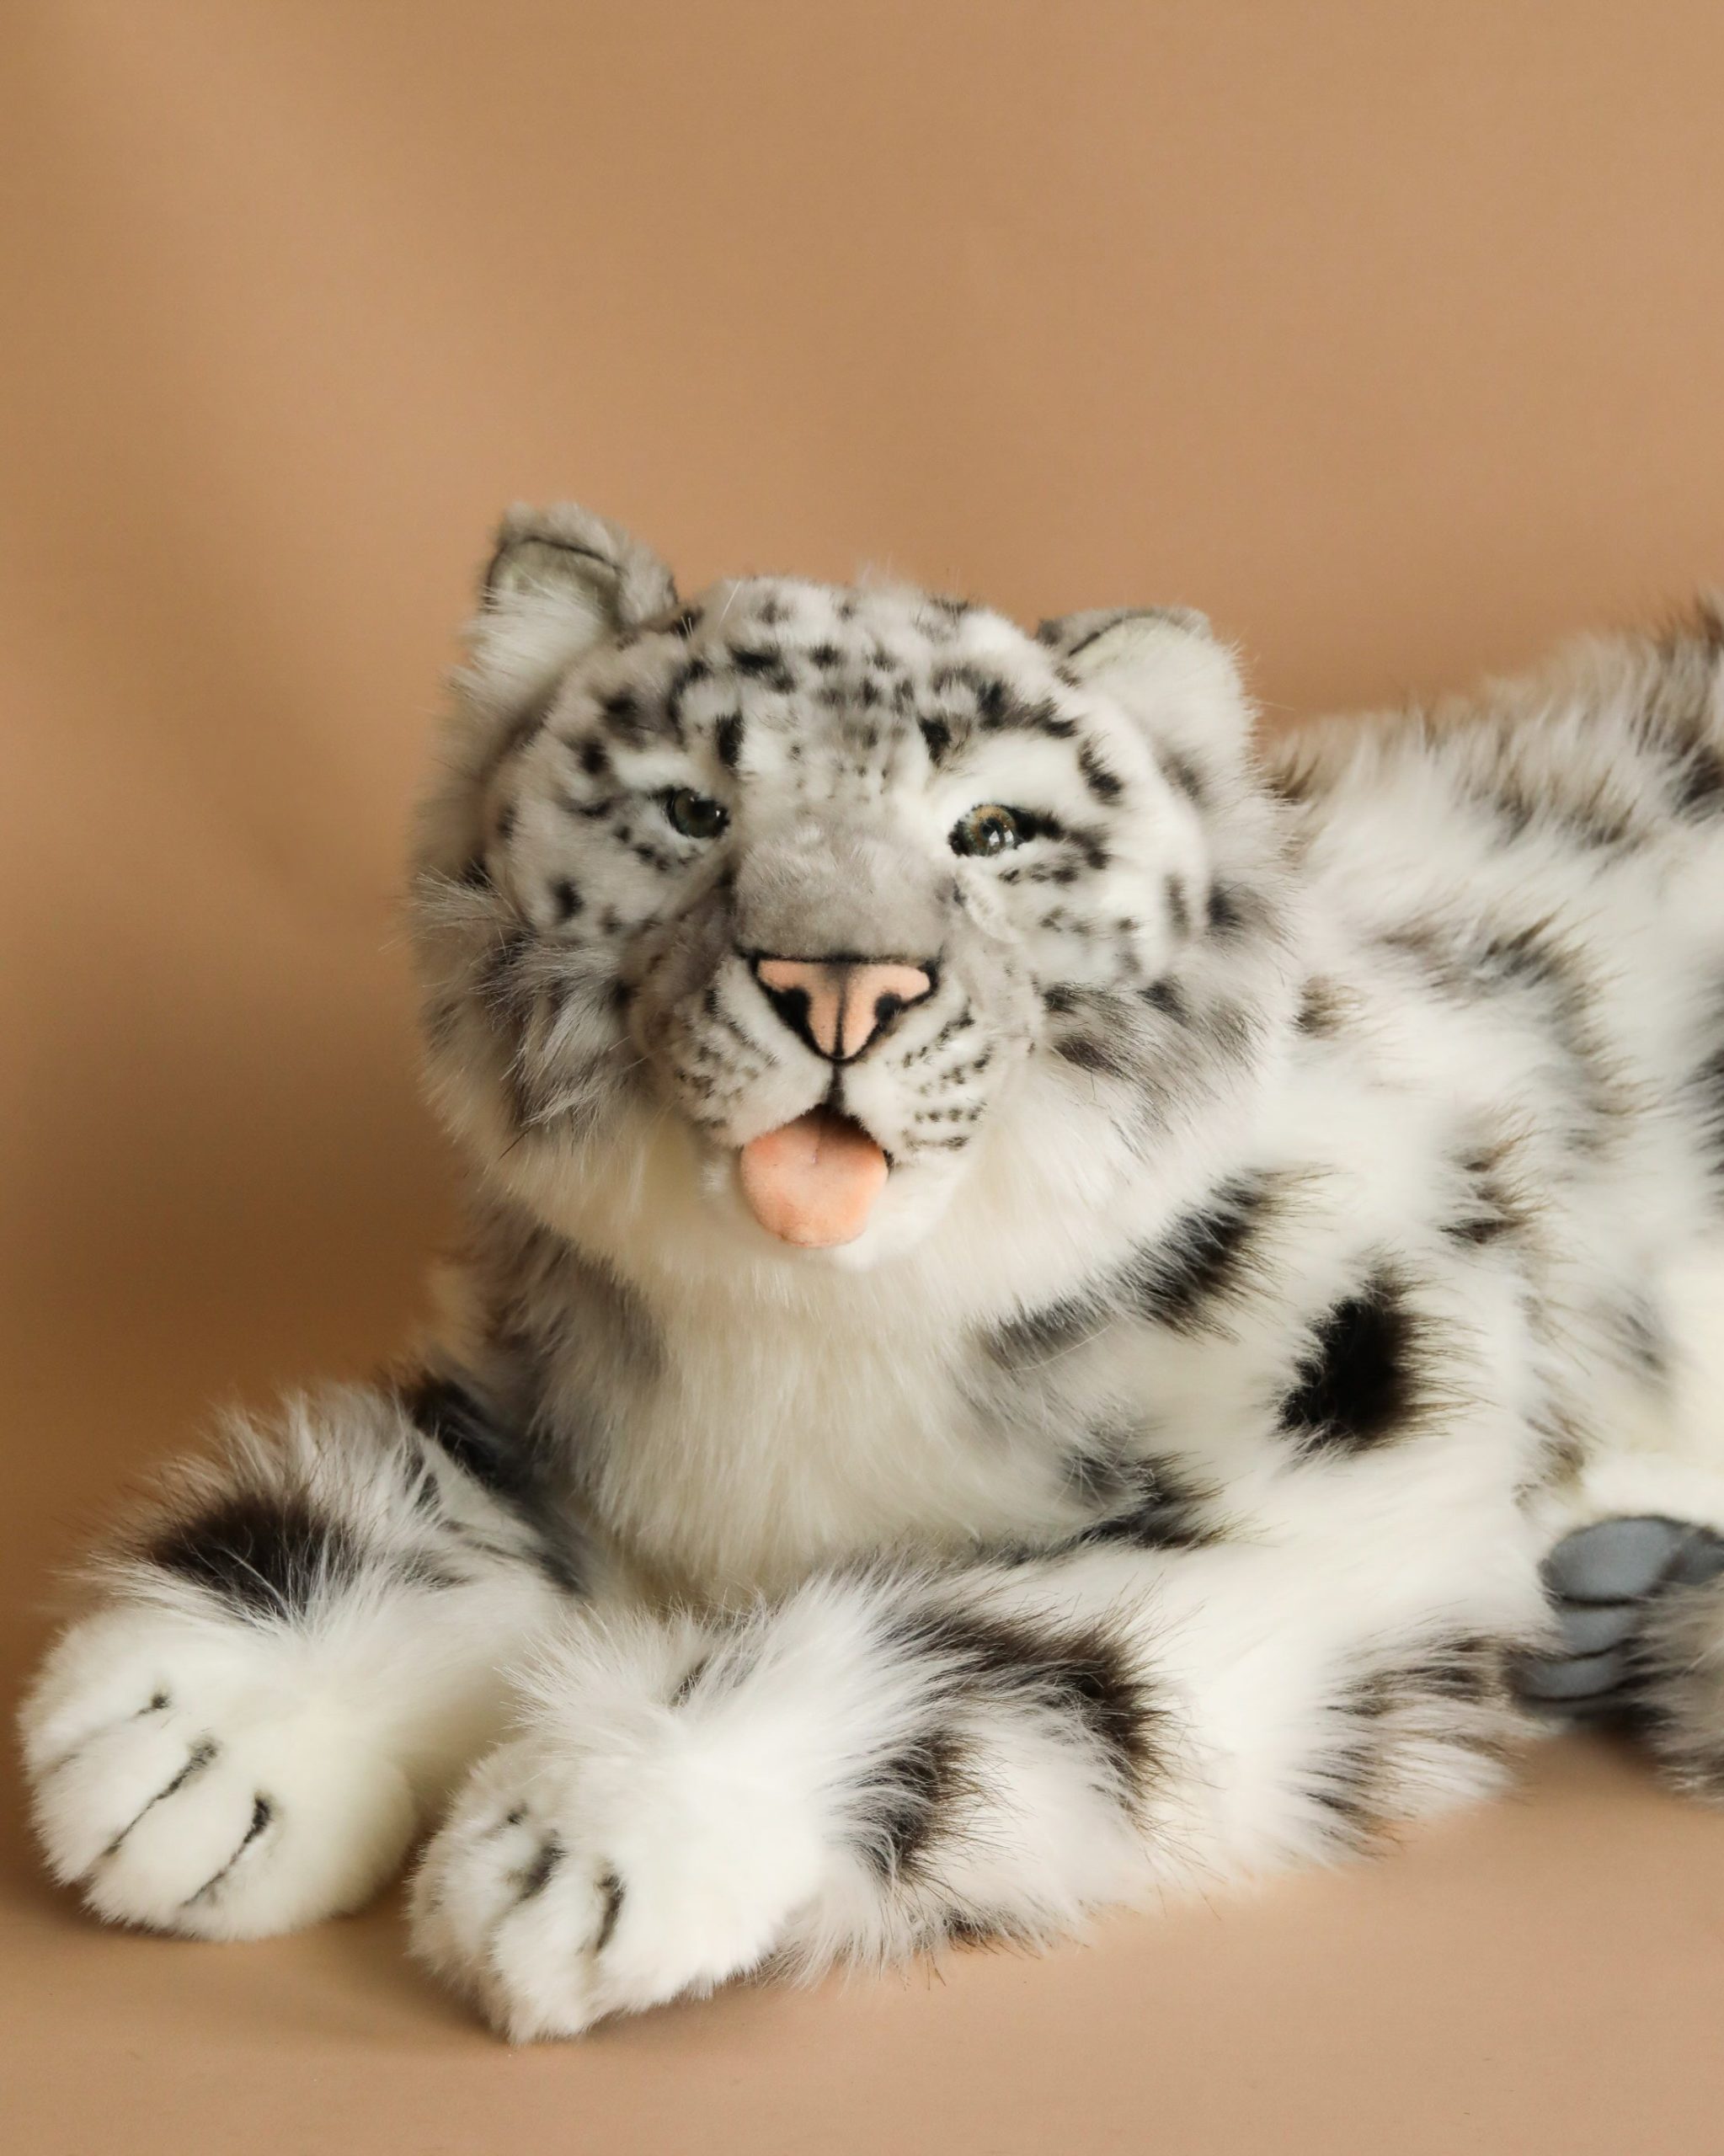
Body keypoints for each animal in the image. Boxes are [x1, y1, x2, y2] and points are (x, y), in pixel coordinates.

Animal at [22, 502, 1724, 2041]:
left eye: (994, 833)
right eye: (687, 809)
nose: (840, 982)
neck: (799, 1360)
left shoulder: (1361, 1510)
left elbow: (1000, 1650)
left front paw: (593, 1831)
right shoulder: (556, 1392)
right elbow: (448, 1495)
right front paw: (193, 1736)